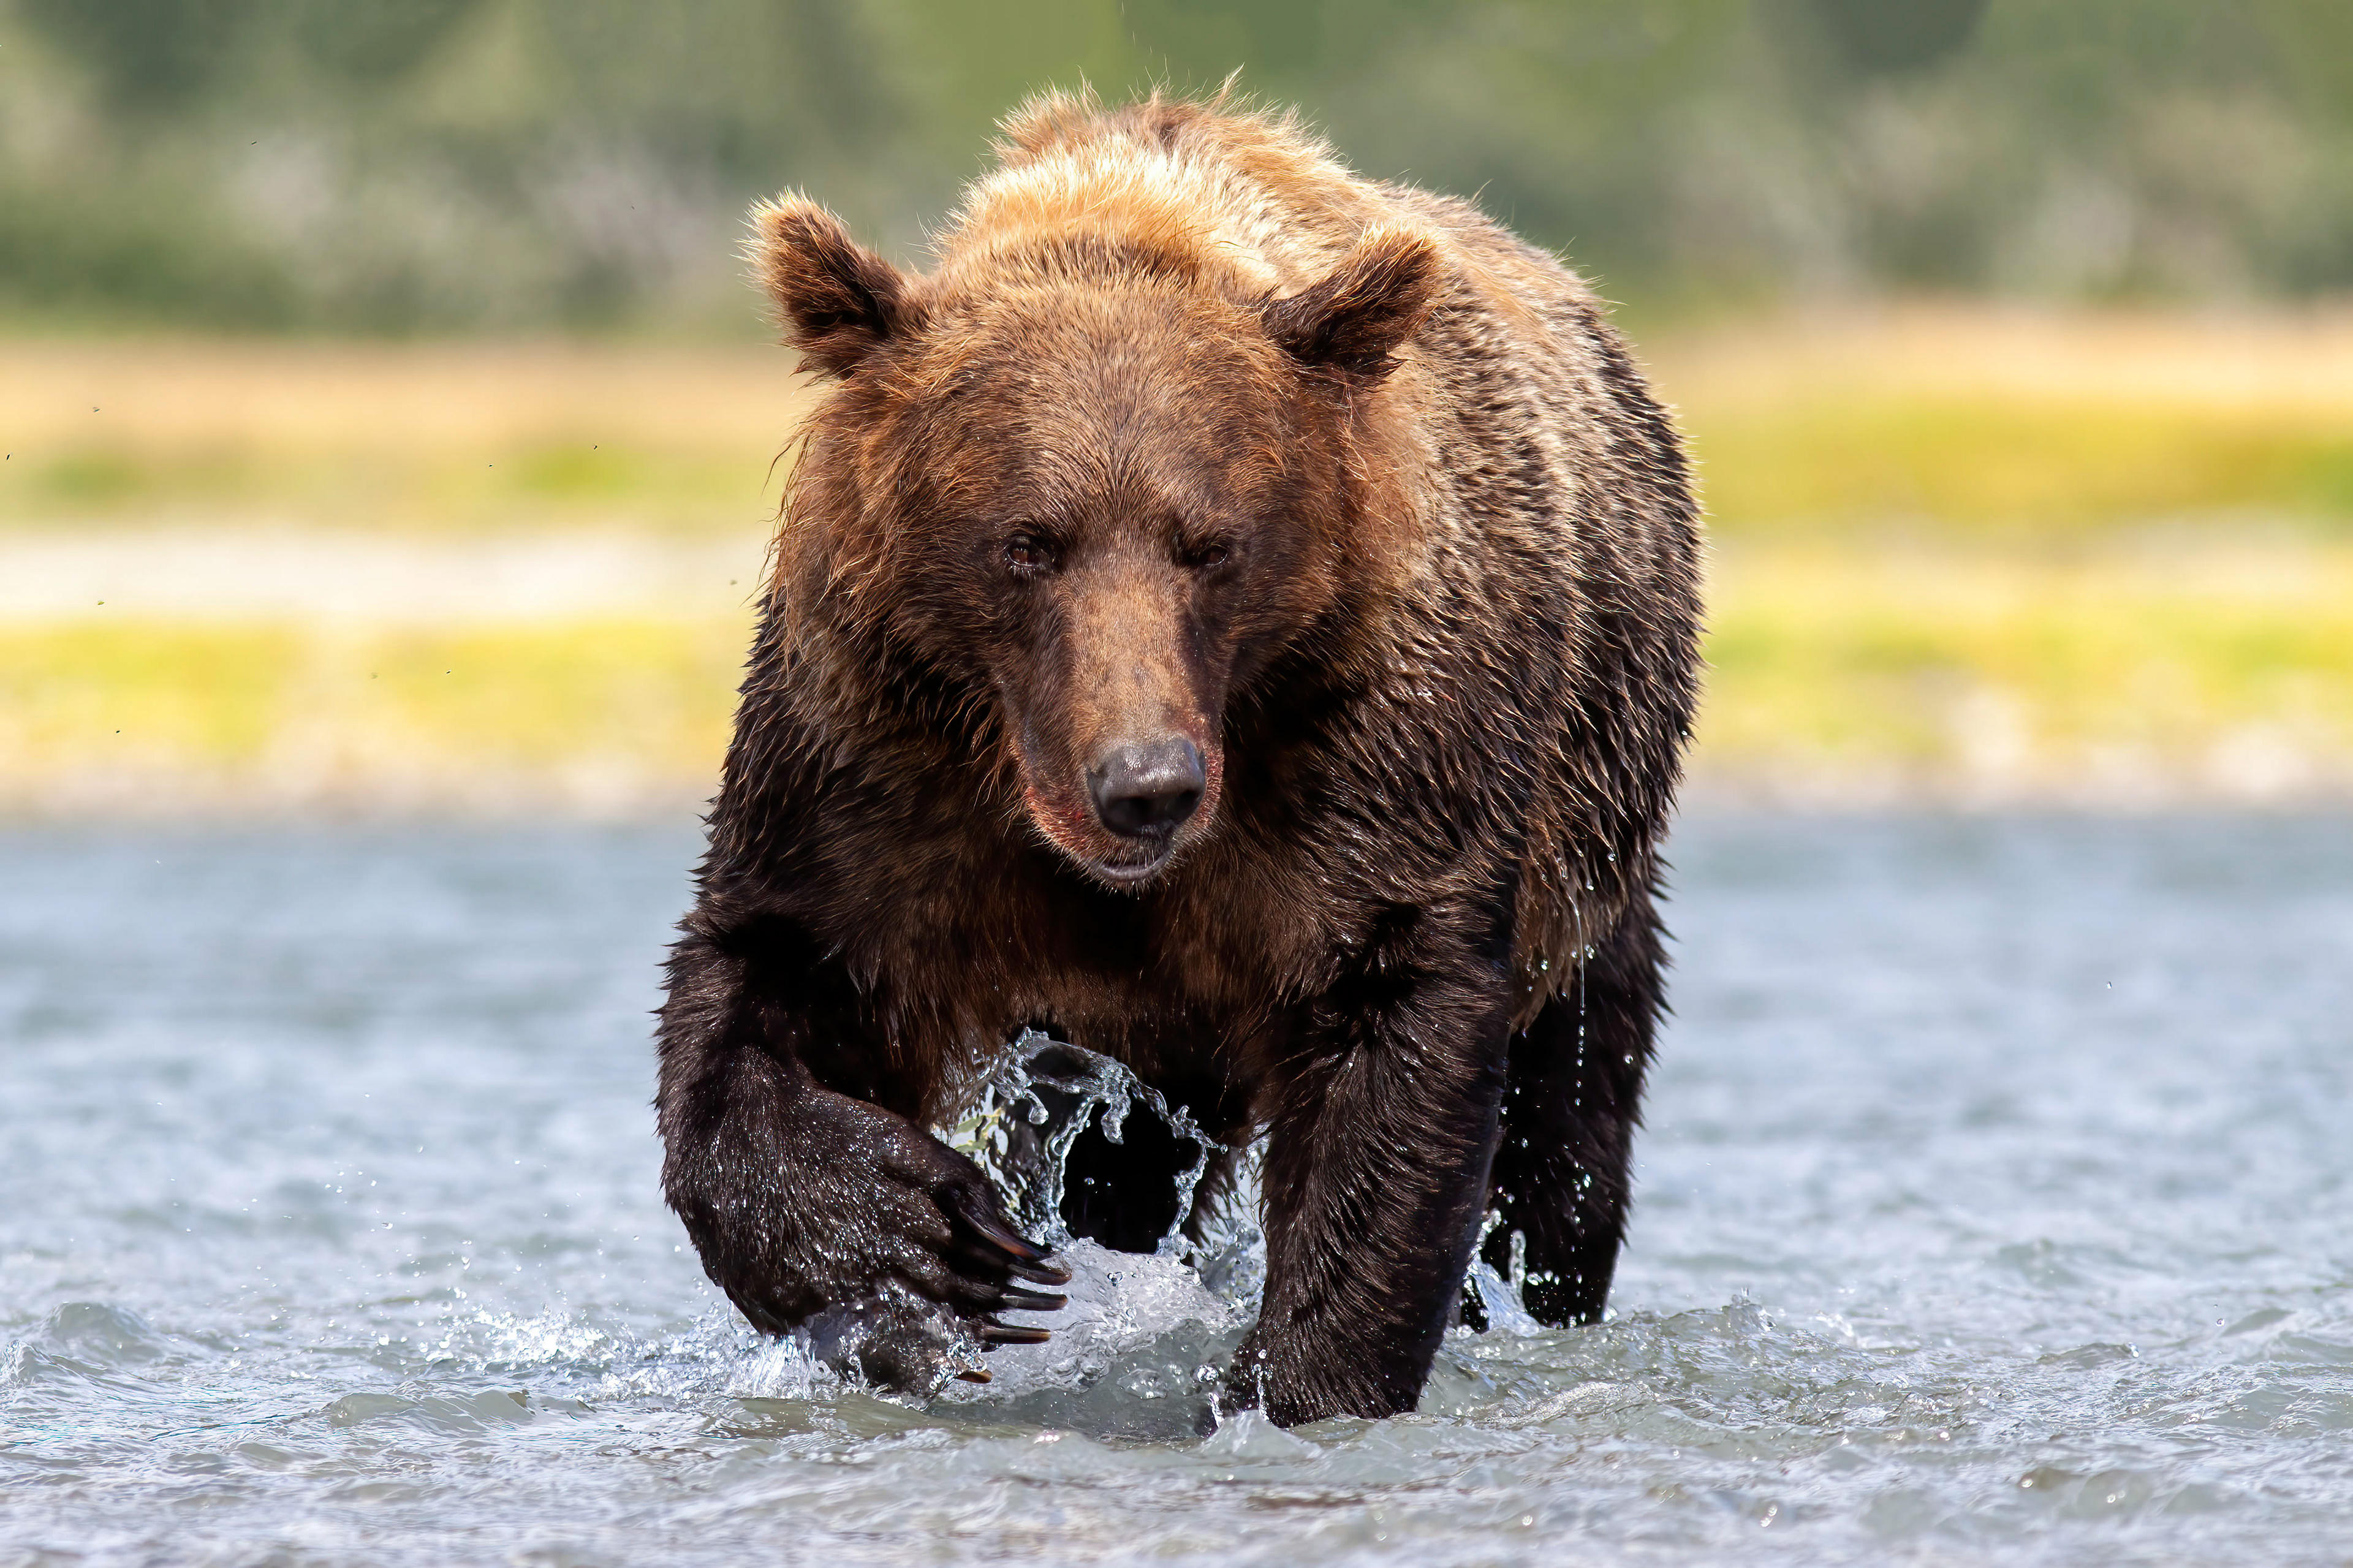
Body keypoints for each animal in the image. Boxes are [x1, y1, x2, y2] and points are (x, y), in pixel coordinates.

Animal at [655, 89, 1701, 1428]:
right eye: (1027, 543)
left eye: (1210, 543)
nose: (1145, 784)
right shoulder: (870, 755)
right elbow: (768, 979)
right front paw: (926, 1239)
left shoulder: (1375, 763)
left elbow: (1389, 1045)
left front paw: (1288, 1382)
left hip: (1587, 859)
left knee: (1564, 1141)